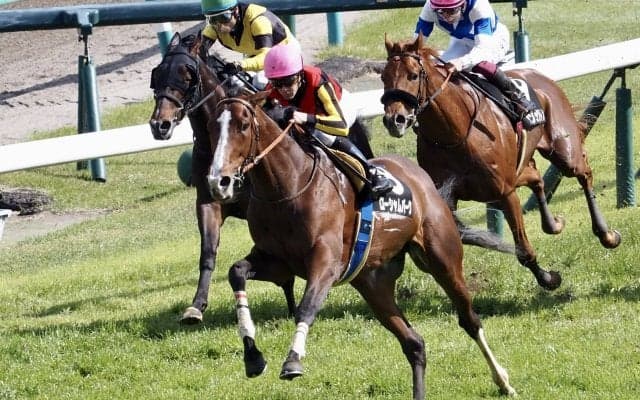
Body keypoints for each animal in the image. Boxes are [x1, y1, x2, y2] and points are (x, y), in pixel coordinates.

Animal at [206, 91, 517, 399]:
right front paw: (253, 357)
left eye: (244, 125)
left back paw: (503, 380)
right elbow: (236, 272)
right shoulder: (277, 262)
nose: (218, 182)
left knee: (469, 320)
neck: (286, 188)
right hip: (373, 283)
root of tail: (424, 182)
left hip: (443, 260)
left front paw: (293, 361)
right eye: (212, 128)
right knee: (414, 343)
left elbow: (307, 307)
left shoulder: (326, 262)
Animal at [380, 34, 621, 291]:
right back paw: (554, 224)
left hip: (564, 151)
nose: (395, 120)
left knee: (584, 174)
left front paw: (549, 278)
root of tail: (542, 77)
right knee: (536, 177)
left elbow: (523, 250)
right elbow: (458, 233)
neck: (454, 134)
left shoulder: (504, 192)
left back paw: (607, 235)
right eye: (383, 77)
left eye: (413, 75)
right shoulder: (448, 196)